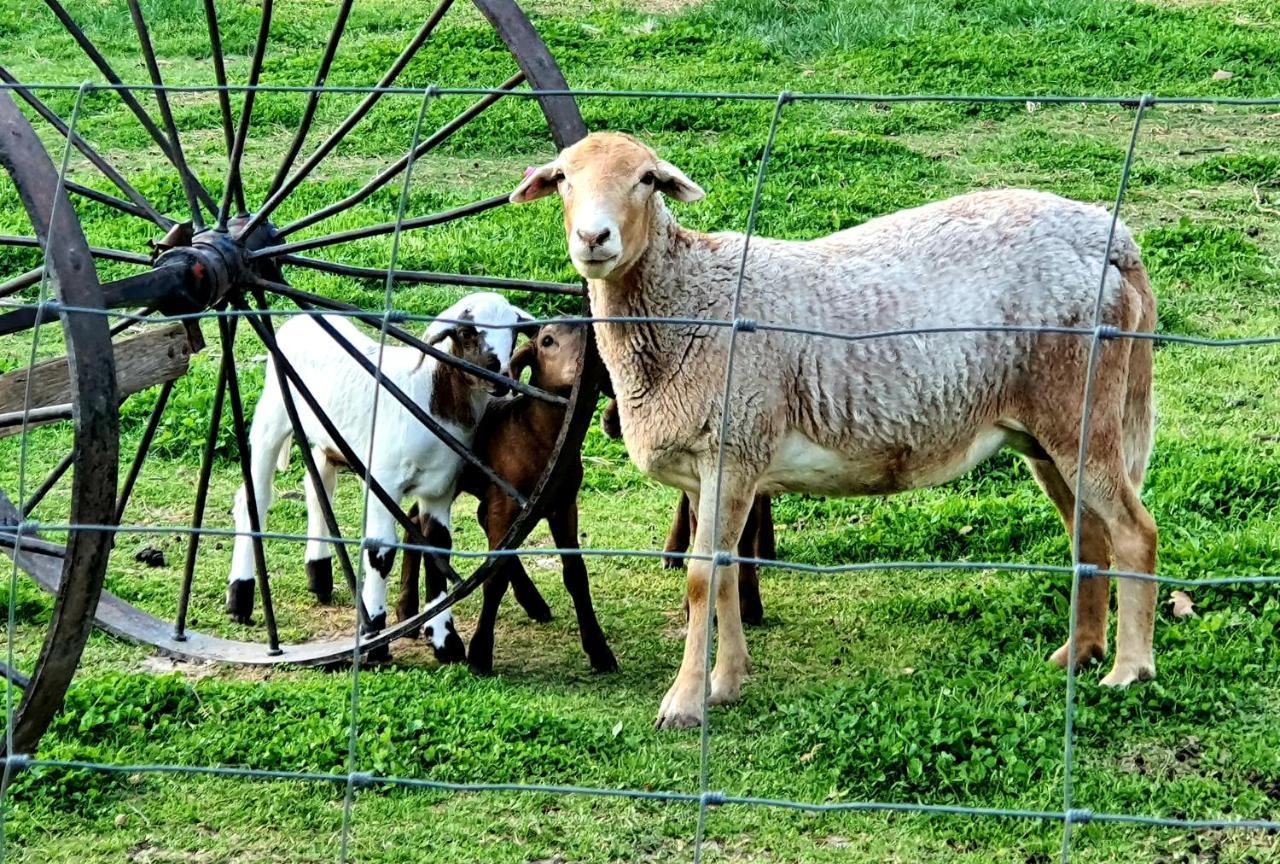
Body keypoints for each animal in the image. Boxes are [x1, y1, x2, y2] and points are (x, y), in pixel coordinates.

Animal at [506, 133, 1162, 732]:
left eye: (646, 179)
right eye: (563, 179)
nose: (594, 239)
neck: (686, 300)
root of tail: (1112, 239)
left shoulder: (732, 446)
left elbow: (701, 579)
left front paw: (684, 704)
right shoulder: (709, 468)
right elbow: (723, 572)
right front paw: (728, 682)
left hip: (1080, 407)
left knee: (1134, 530)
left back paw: (1128, 670)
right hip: (1044, 432)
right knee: (1089, 535)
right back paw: (1079, 653)